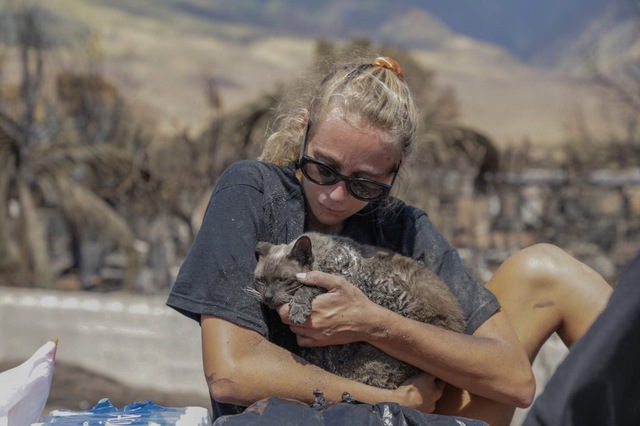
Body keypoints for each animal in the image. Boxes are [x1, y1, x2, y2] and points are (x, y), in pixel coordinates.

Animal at [252, 233, 468, 390]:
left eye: (283, 279)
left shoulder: (343, 280)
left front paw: (298, 309)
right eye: (260, 280)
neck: (326, 256)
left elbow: (308, 286)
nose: (268, 297)